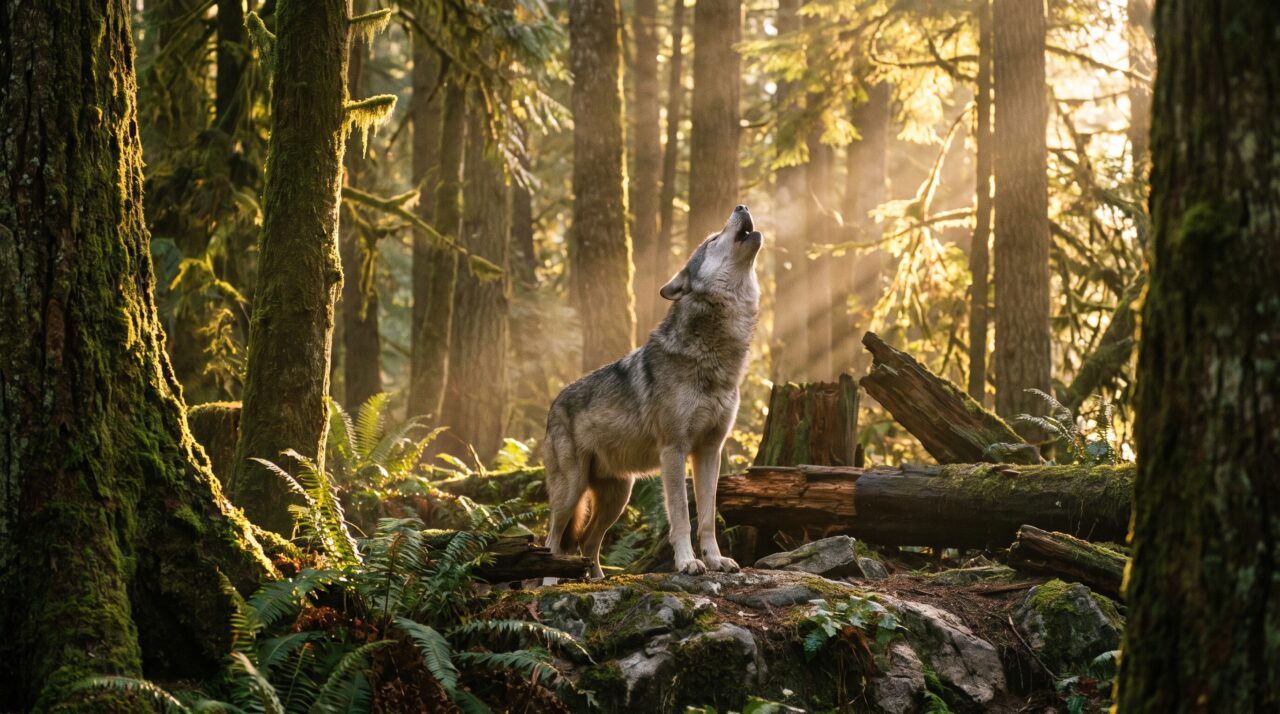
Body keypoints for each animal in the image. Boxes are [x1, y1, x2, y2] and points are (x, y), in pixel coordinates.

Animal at [543, 205, 763, 578]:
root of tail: (554, 403)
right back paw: (549, 581)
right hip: (571, 491)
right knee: (553, 540)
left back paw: (595, 579)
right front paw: (688, 562)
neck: (713, 354)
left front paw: (716, 561)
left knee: (587, 543)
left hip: (619, 496)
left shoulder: (710, 451)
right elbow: (681, 516)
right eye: (712, 239)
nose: (741, 206)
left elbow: (707, 517)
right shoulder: (674, 450)